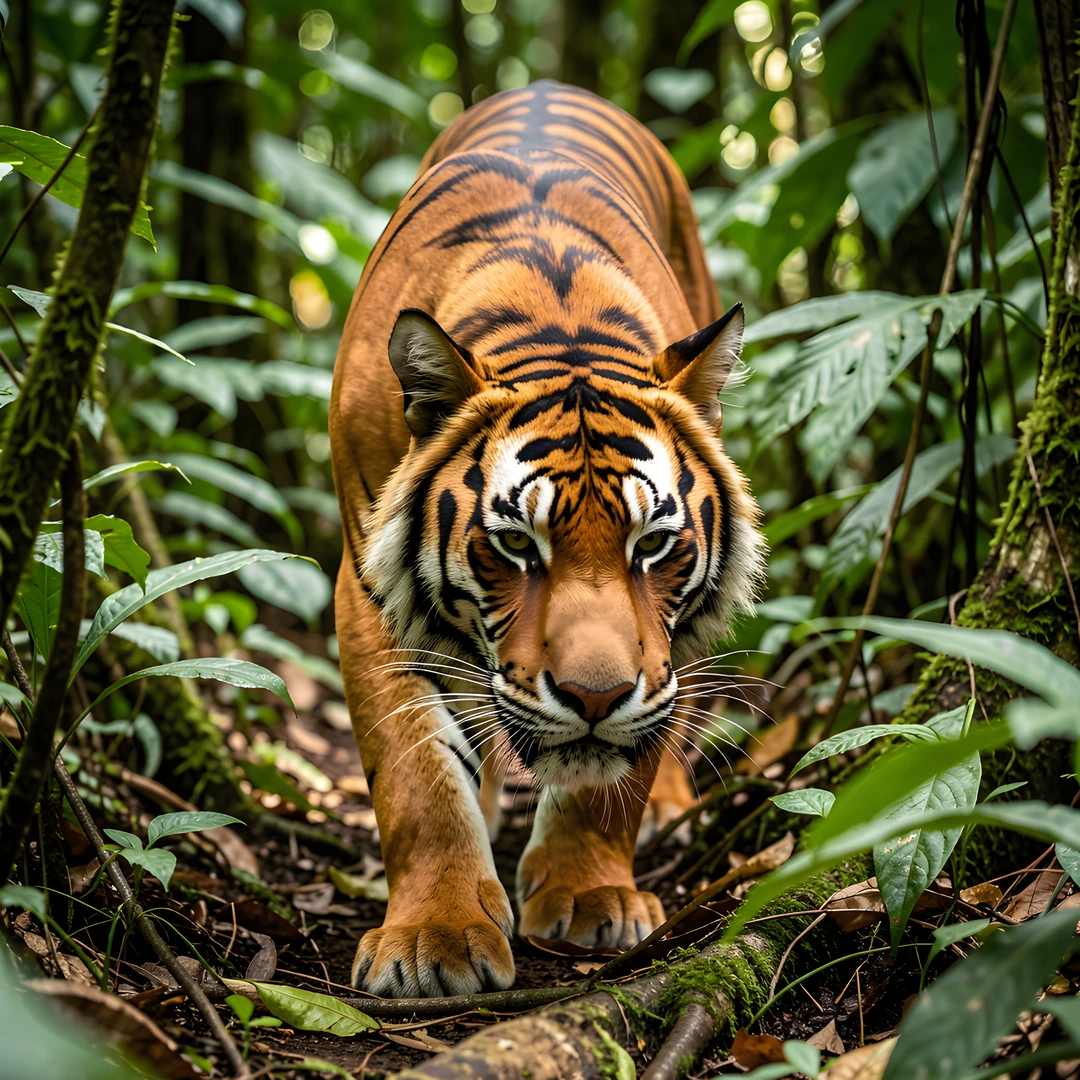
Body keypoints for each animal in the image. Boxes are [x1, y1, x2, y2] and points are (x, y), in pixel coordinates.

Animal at [329, 79, 765, 998]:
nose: (596, 699)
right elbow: (414, 774)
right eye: (516, 547)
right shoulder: (366, 586)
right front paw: (435, 940)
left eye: (653, 546)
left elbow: (617, 776)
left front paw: (591, 895)